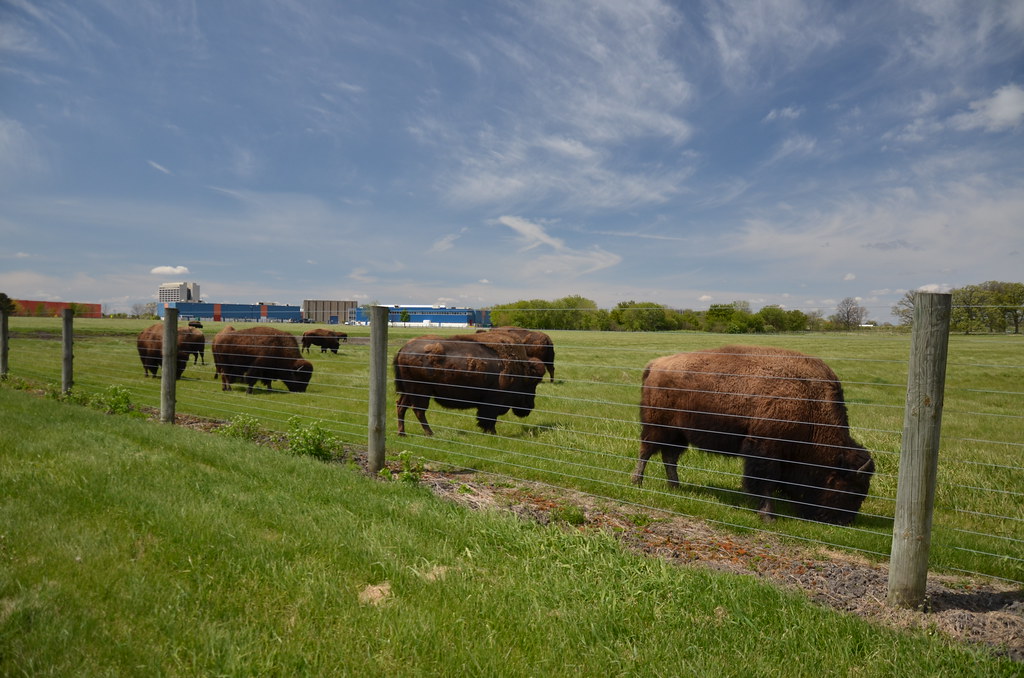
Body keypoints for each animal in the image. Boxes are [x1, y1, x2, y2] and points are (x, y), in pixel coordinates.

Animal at [394, 330, 546, 435]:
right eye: (532, 383)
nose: (530, 407)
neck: (519, 369)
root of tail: (403, 349)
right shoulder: (492, 402)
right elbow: (489, 418)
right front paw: (493, 433)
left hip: (409, 391)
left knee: (401, 406)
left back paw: (403, 434)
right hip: (420, 391)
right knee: (418, 410)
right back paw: (430, 433)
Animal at [632, 345, 874, 525]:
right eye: (852, 490)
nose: (844, 521)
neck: (810, 404)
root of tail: (656, 364)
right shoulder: (765, 449)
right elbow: (764, 480)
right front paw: (768, 516)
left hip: (678, 433)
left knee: (669, 457)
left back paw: (676, 486)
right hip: (658, 427)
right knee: (647, 451)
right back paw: (637, 481)